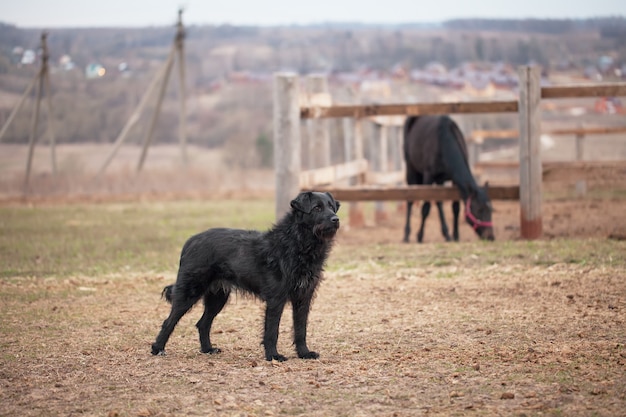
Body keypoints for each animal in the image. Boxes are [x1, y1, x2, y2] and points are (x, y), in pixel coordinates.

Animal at [151, 190, 338, 360]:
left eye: (331, 207)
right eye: (317, 208)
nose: (336, 219)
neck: (298, 242)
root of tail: (190, 241)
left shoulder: (303, 297)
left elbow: (301, 328)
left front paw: (304, 353)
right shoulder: (276, 299)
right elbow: (272, 330)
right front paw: (273, 355)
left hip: (217, 297)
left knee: (203, 324)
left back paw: (207, 349)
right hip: (189, 292)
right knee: (169, 321)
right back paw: (157, 348)